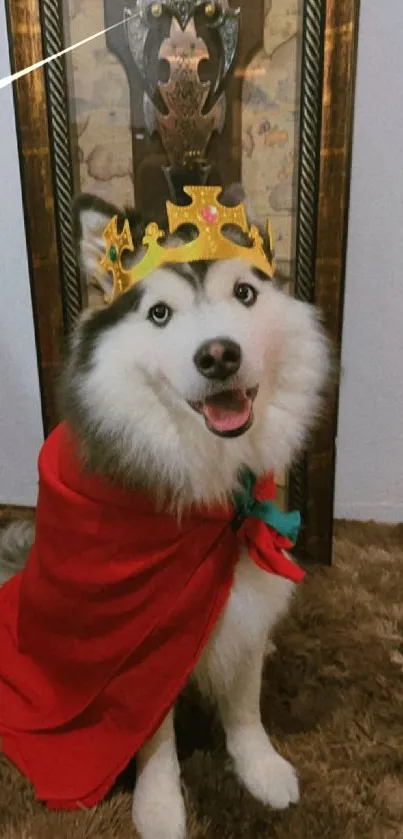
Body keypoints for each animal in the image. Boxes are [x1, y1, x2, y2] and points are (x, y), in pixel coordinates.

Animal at [0, 187, 330, 839]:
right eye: (158, 314)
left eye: (244, 293)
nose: (219, 356)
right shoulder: (141, 643)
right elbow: (153, 739)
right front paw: (158, 807)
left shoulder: (247, 592)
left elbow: (245, 699)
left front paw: (259, 767)